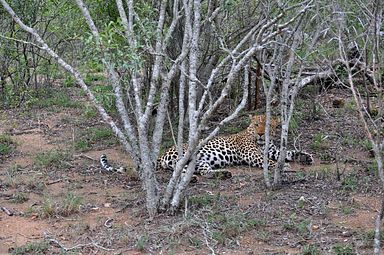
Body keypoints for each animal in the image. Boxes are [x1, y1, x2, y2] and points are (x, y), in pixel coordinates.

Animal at [154, 114, 314, 178]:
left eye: (268, 126)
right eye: (256, 125)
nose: (261, 134)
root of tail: (163, 153)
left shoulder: (272, 151)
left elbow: (288, 152)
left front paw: (305, 156)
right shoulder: (251, 154)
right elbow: (268, 161)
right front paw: (284, 166)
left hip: (201, 162)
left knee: (205, 172)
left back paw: (223, 174)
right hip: (186, 157)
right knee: (180, 171)